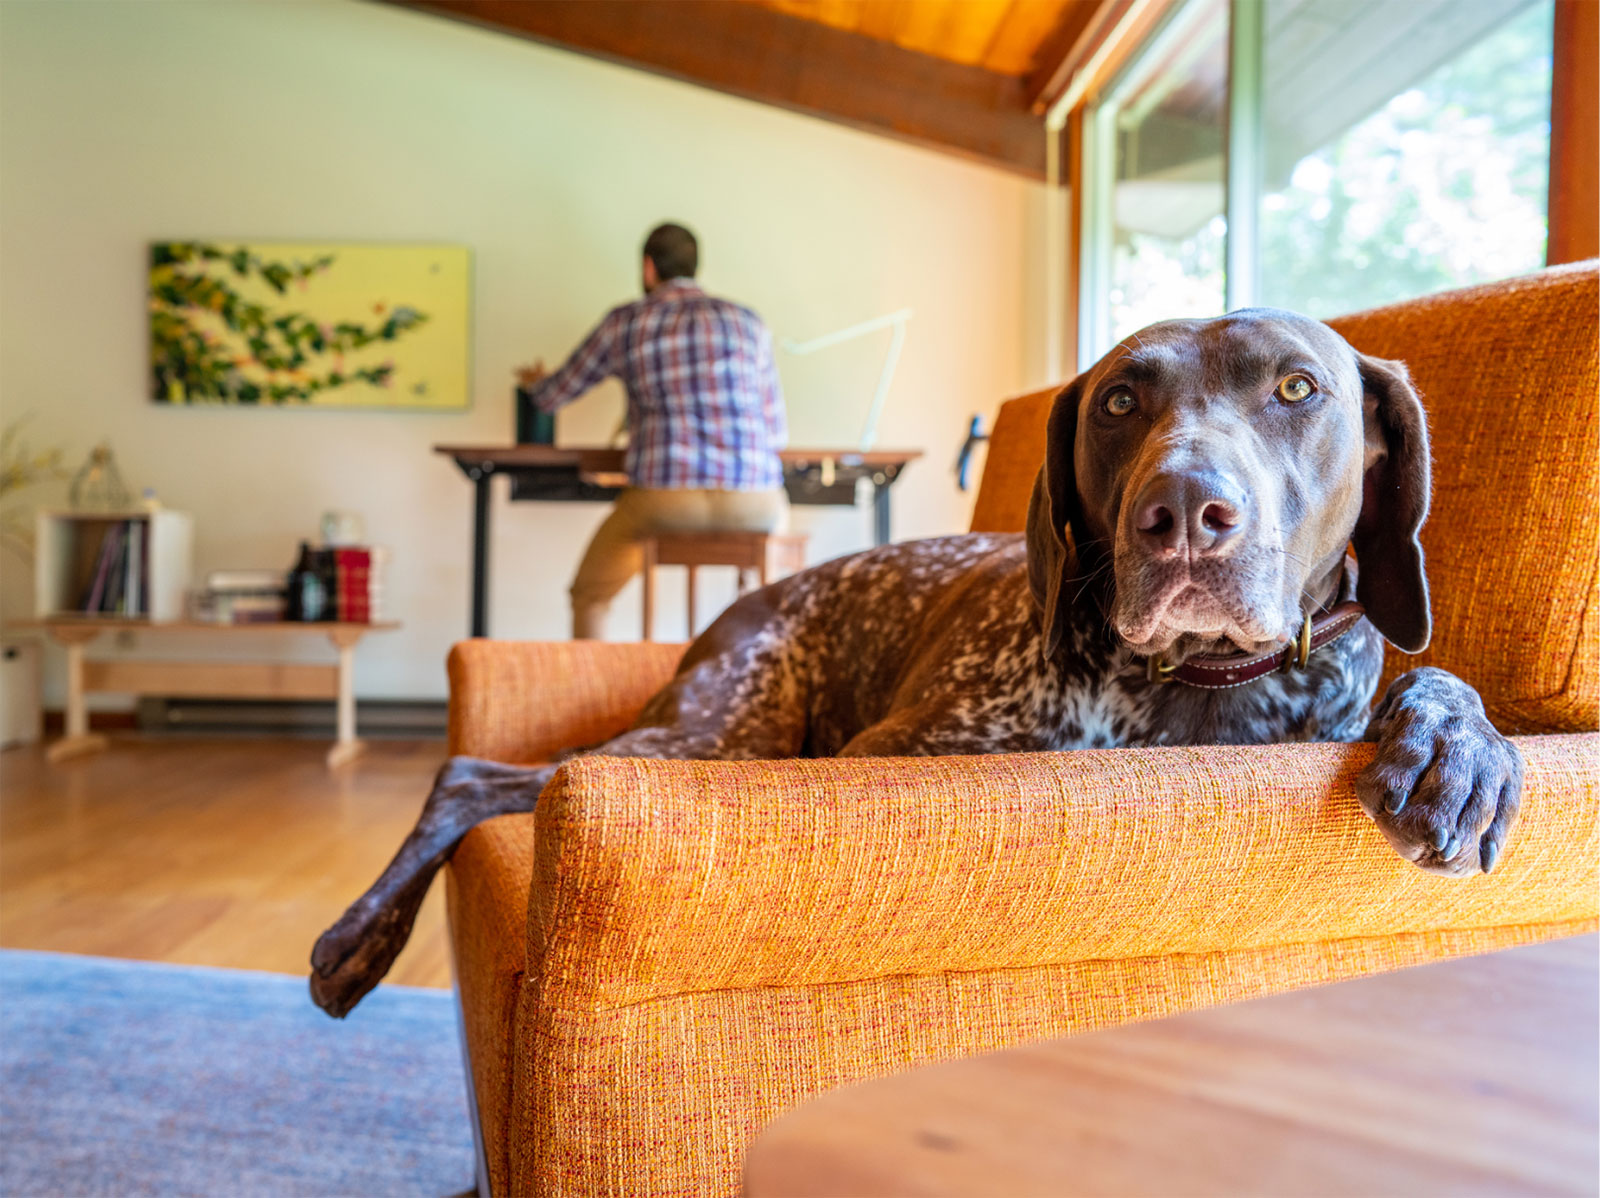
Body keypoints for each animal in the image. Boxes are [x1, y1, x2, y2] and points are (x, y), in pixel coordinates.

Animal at [312, 310, 1523, 1017]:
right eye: (1120, 399)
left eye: (1297, 390)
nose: (1183, 512)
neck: (1188, 687)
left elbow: (1433, 682)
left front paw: (1458, 752)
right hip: (729, 738)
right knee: (475, 776)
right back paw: (360, 939)